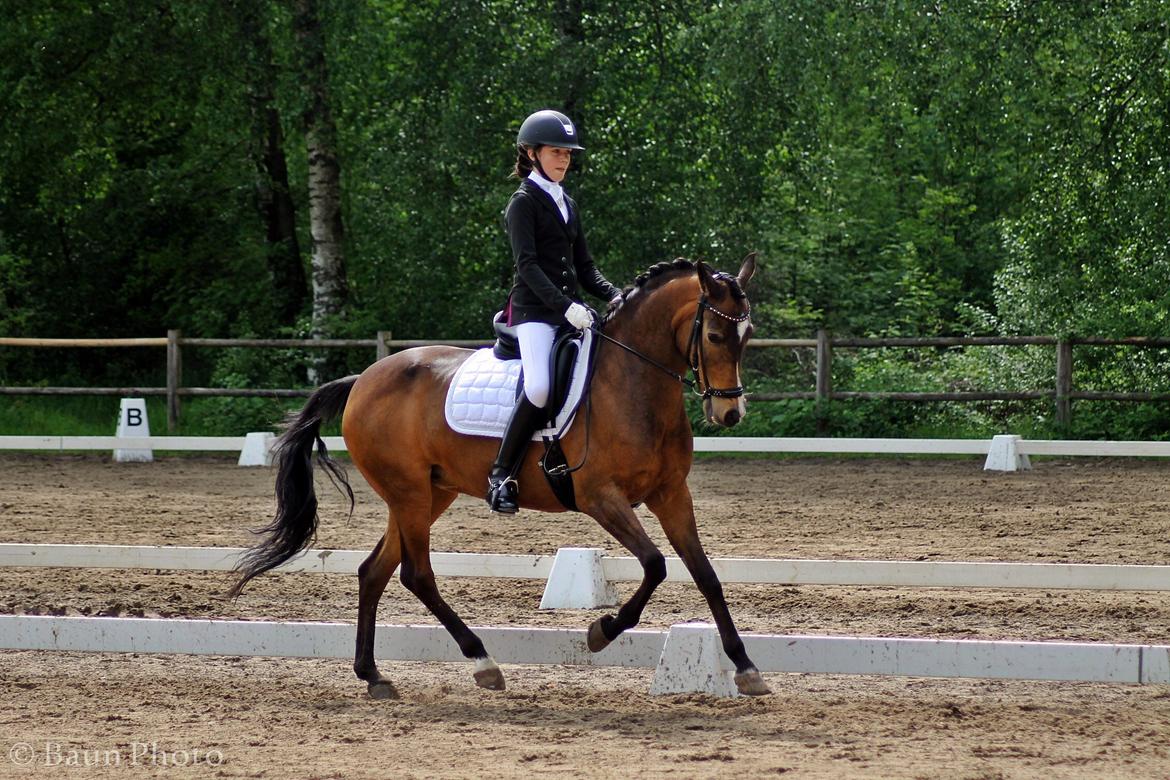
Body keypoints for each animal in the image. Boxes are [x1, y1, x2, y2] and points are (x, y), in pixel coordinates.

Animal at [230, 254, 770, 698]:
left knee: (374, 571)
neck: (632, 383)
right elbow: (656, 564)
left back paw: (373, 675)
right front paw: (602, 631)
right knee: (416, 574)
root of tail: (363, 378)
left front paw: (745, 667)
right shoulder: (600, 497)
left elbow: (706, 575)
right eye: (715, 336)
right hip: (408, 494)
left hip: (428, 494)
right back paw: (483, 663)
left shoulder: (671, 493)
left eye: (746, 337)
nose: (730, 414)